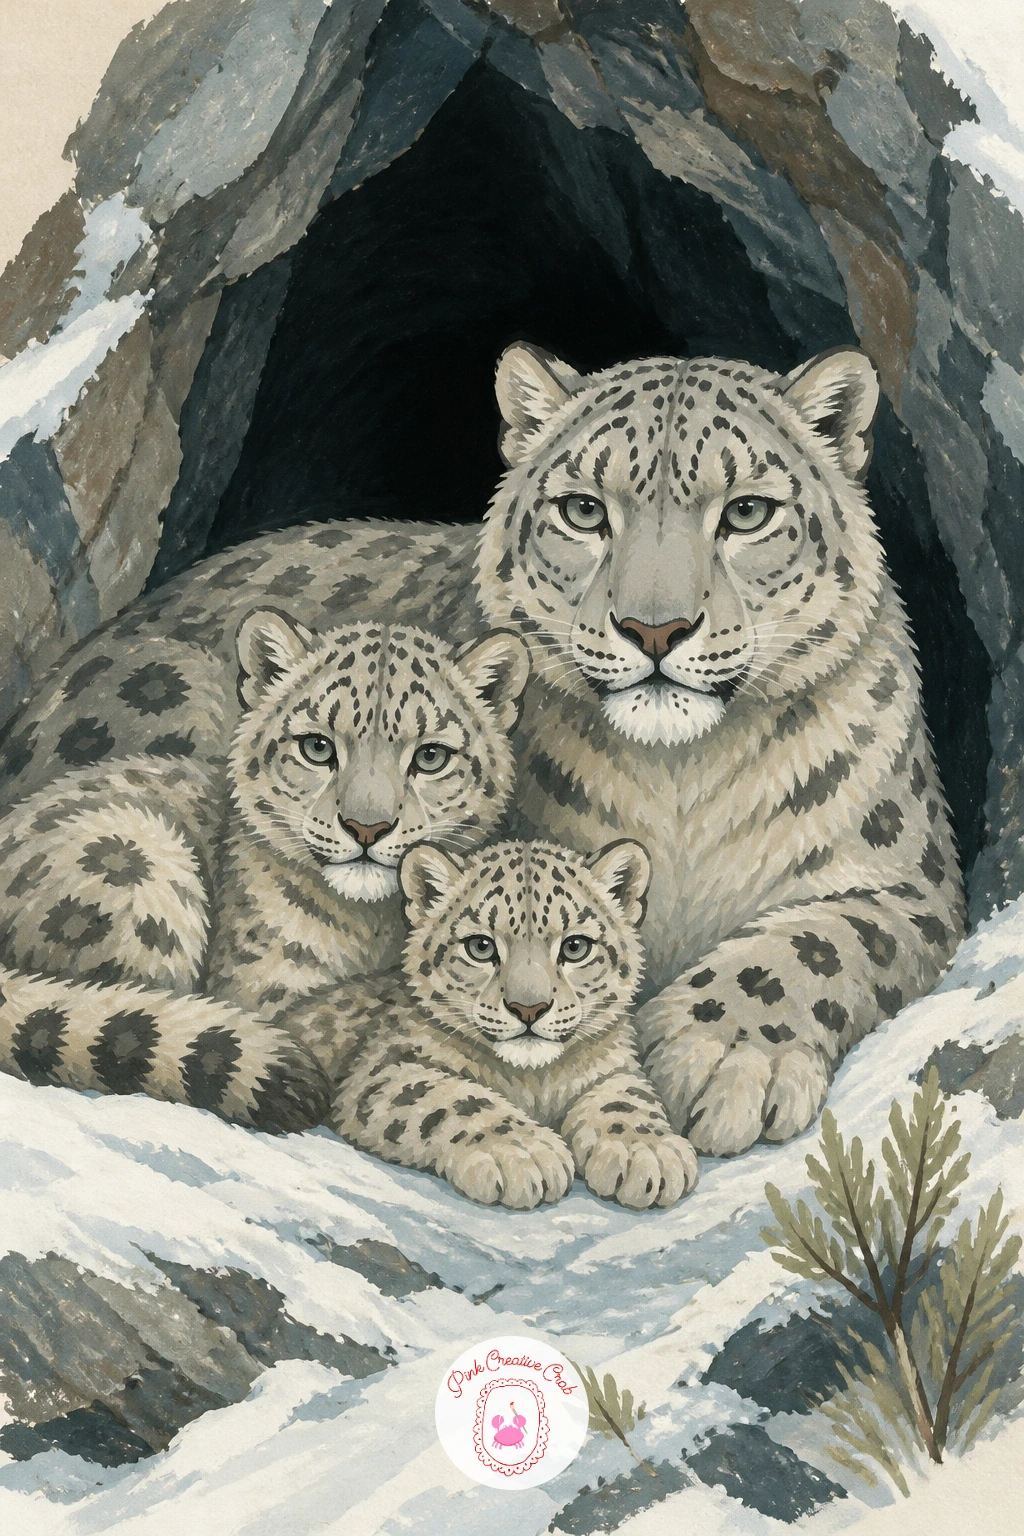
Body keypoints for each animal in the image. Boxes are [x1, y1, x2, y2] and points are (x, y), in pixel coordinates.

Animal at [0, 612, 529, 1128]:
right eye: (317, 747)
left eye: (431, 756)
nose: (366, 827)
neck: (374, 930)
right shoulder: (270, 998)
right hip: (134, 858)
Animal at [326, 837, 698, 1209]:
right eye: (480, 946)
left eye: (575, 946)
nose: (529, 1009)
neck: (535, 1083)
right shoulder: (384, 1067)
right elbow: (452, 1097)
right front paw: (522, 1151)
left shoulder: (614, 1065)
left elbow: (626, 1095)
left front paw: (646, 1148)